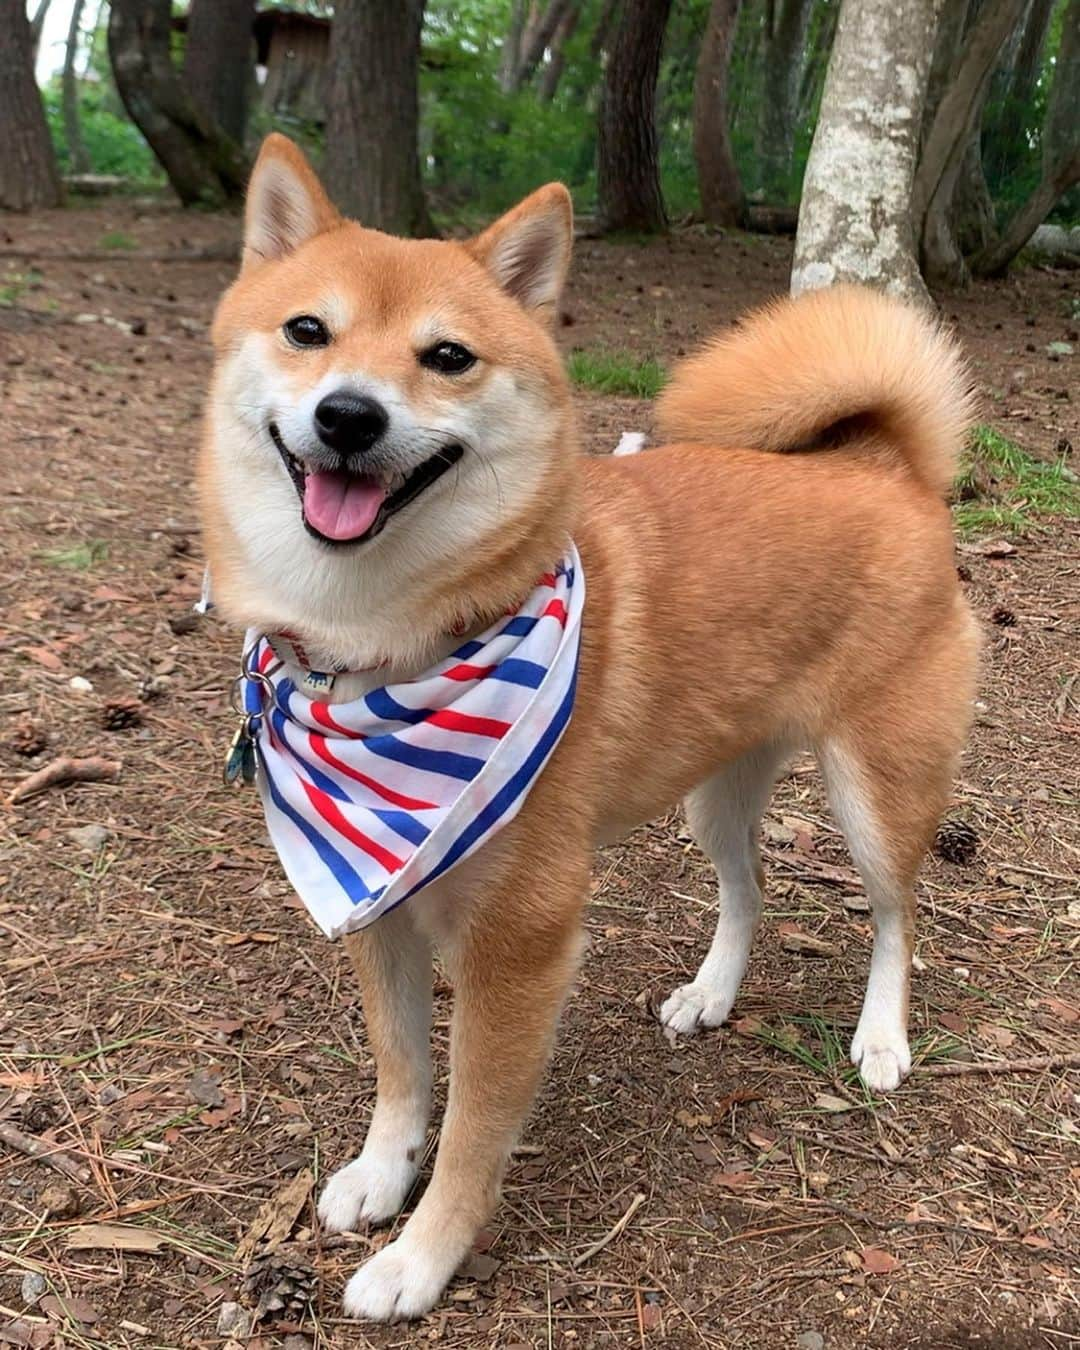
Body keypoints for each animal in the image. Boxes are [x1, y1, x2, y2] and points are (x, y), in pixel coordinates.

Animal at [199, 134, 977, 1317]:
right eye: (306, 332)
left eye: (448, 357)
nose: (349, 416)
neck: (389, 645)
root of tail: (881, 467)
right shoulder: (379, 910)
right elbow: (401, 1072)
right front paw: (381, 1174)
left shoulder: (519, 941)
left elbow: (472, 1129)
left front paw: (420, 1259)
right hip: (717, 787)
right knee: (750, 887)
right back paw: (713, 993)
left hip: (877, 792)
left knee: (895, 915)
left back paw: (881, 1036)